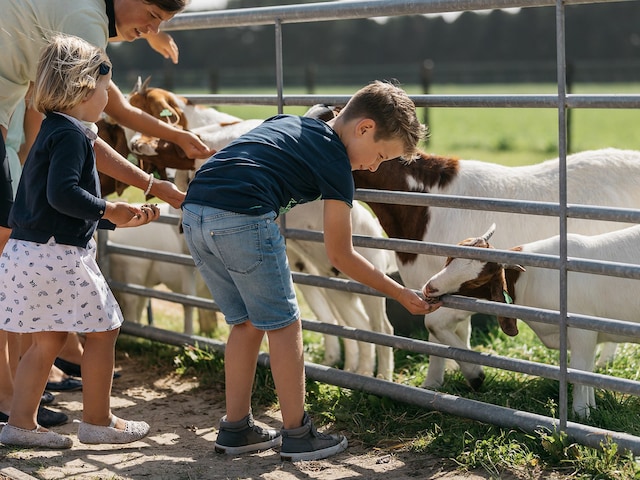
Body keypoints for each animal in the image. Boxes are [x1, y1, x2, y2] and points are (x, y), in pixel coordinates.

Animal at [422, 224, 640, 416]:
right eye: (450, 258)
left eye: (477, 280)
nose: (429, 288)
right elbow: (588, 371)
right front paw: (591, 408)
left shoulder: (582, 330)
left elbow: (579, 371)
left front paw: (581, 415)